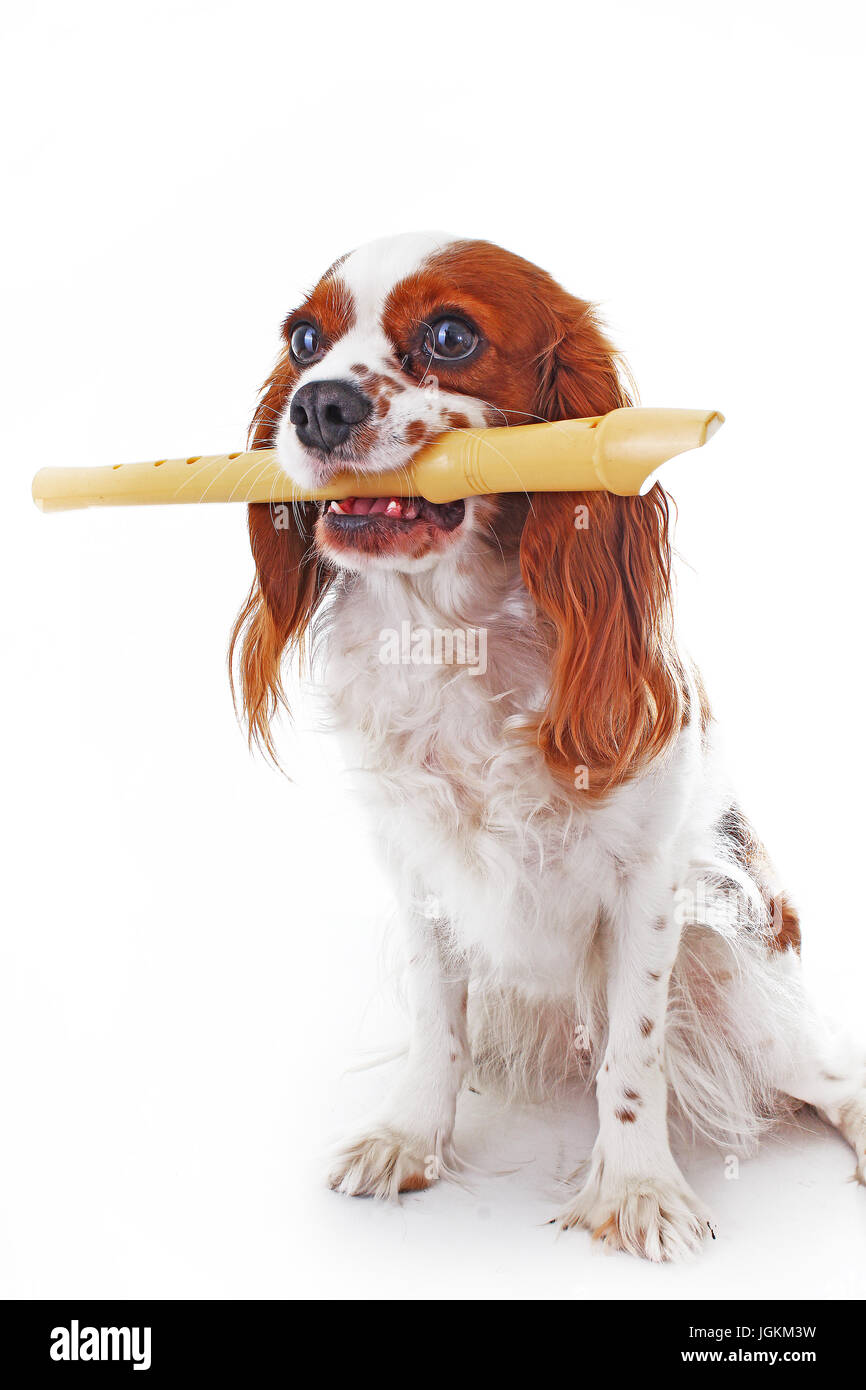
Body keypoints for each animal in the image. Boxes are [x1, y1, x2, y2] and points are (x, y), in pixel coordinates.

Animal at [230, 230, 866, 1262]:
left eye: (451, 335)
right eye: (302, 339)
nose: (318, 403)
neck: (453, 630)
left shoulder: (649, 886)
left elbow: (634, 1057)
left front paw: (637, 1189)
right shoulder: (415, 869)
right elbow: (436, 1021)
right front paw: (410, 1136)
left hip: (739, 978)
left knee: (836, 1077)